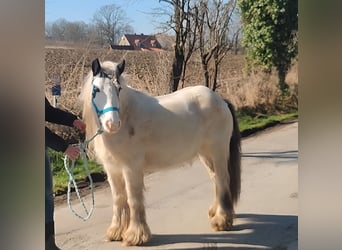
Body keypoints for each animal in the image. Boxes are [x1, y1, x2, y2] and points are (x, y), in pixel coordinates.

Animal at [79, 58, 242, 246]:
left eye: (118, 88)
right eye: (96, 89)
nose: (112, 124)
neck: (127, 116)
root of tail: (220, 100)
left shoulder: (131, 167)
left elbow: (133, 199)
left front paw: (136, 235)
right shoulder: (112, 169)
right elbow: (119, 198)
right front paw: (115, 232)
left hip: (218, 151)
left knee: (222, 181)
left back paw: (221, 221)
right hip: (205, 154)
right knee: (215, 178)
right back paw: (214, 212)